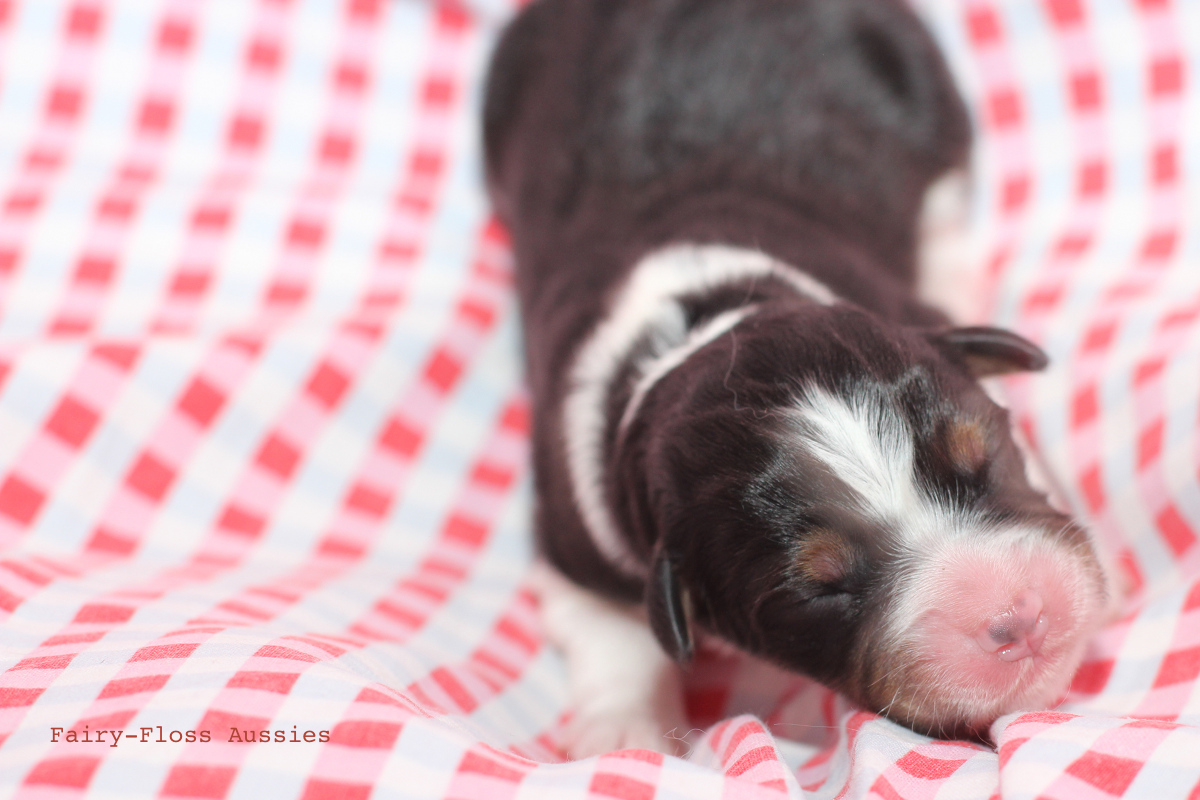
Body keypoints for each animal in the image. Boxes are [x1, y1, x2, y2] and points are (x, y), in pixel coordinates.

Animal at [482, 0, 1108, 753]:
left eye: (983, 462)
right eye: (819, 590)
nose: (1019, 618)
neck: (703, 321)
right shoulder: (574, 533)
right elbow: (617, 635)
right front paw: (626, 738)